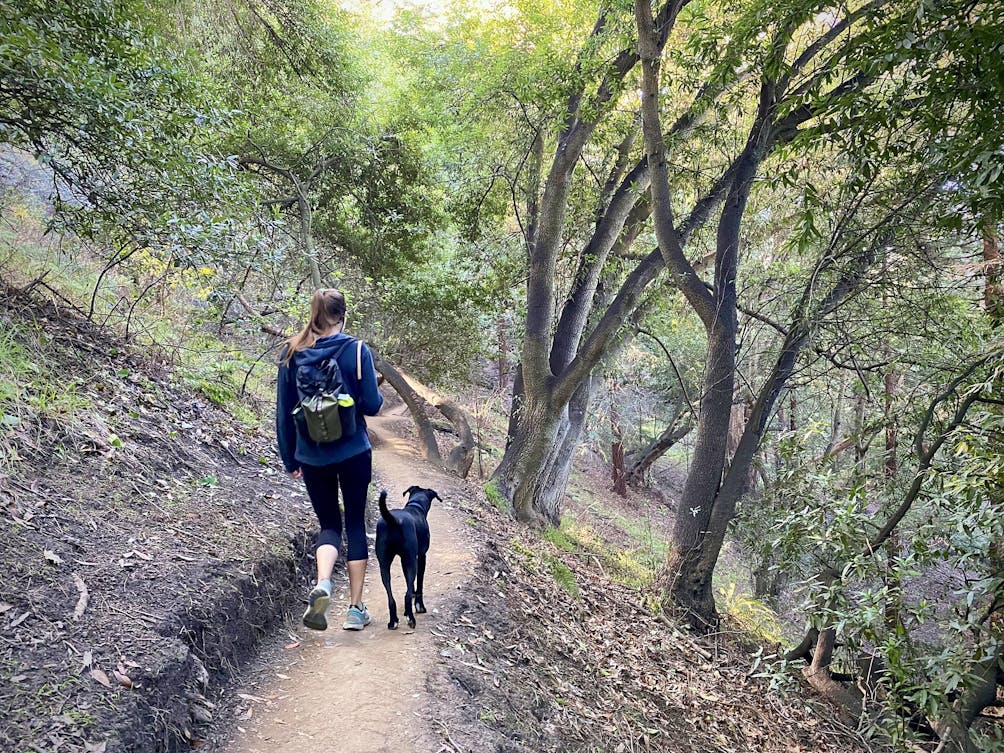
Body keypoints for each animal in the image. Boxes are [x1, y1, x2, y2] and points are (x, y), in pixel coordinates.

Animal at [375, 485, 437, 626]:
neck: (416, 506)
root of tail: (393, 520)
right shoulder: (421, 556)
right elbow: (419, 583)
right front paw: (420, 606)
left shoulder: (404, 559)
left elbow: (410, 582)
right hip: (411, 562)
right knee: (406, 595)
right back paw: (411, 618)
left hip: (384, 565)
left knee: (390, 597)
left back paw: (393, 621)